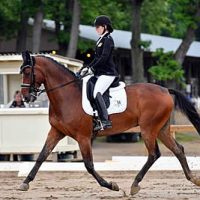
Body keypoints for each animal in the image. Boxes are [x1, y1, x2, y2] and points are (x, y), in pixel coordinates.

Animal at [18, 50, 200, 195]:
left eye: (27, 71)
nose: (26, 97)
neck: (66, 95)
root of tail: (165, 90)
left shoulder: (83, 136)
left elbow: (89, 165)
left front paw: (111, 185)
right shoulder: (56, 131)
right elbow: (42, 156)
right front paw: (25, 183)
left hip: (148, 129)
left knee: (154, 154)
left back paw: (135, 185)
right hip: (161, 129)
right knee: (178, 149)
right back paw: (193, 179)